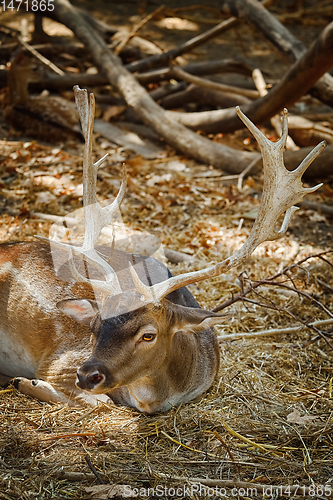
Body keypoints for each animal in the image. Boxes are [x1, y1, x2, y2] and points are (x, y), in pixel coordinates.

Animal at [0, 87, 322, 414]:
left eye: (148, 335)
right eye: (95, 326)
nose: (87, 374)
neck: (162, 396)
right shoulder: (60, 361)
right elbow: (105, 404)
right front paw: (27, 382)